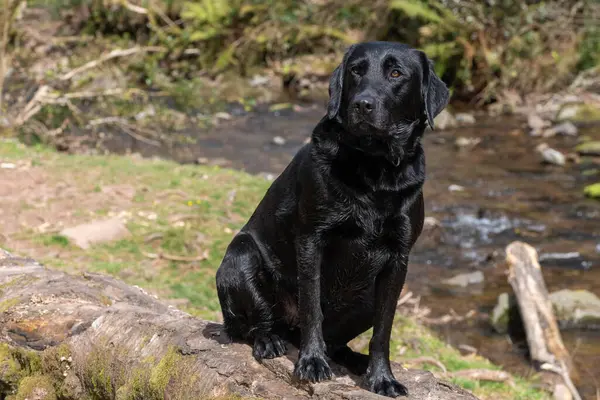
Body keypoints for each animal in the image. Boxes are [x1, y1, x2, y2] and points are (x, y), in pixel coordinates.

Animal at [218, 41, 448, 396]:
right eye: (356, 70)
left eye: (396, 73)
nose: (362, 104)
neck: (375, 168)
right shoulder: (312, 240)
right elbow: (313, 307)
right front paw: (312, 362)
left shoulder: (398, 259)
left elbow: (384, 330)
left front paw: (382, 377)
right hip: (239, 257)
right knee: (254, 322)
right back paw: (269, 340)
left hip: (366, 298)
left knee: (340, 341)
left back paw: (354, 360)